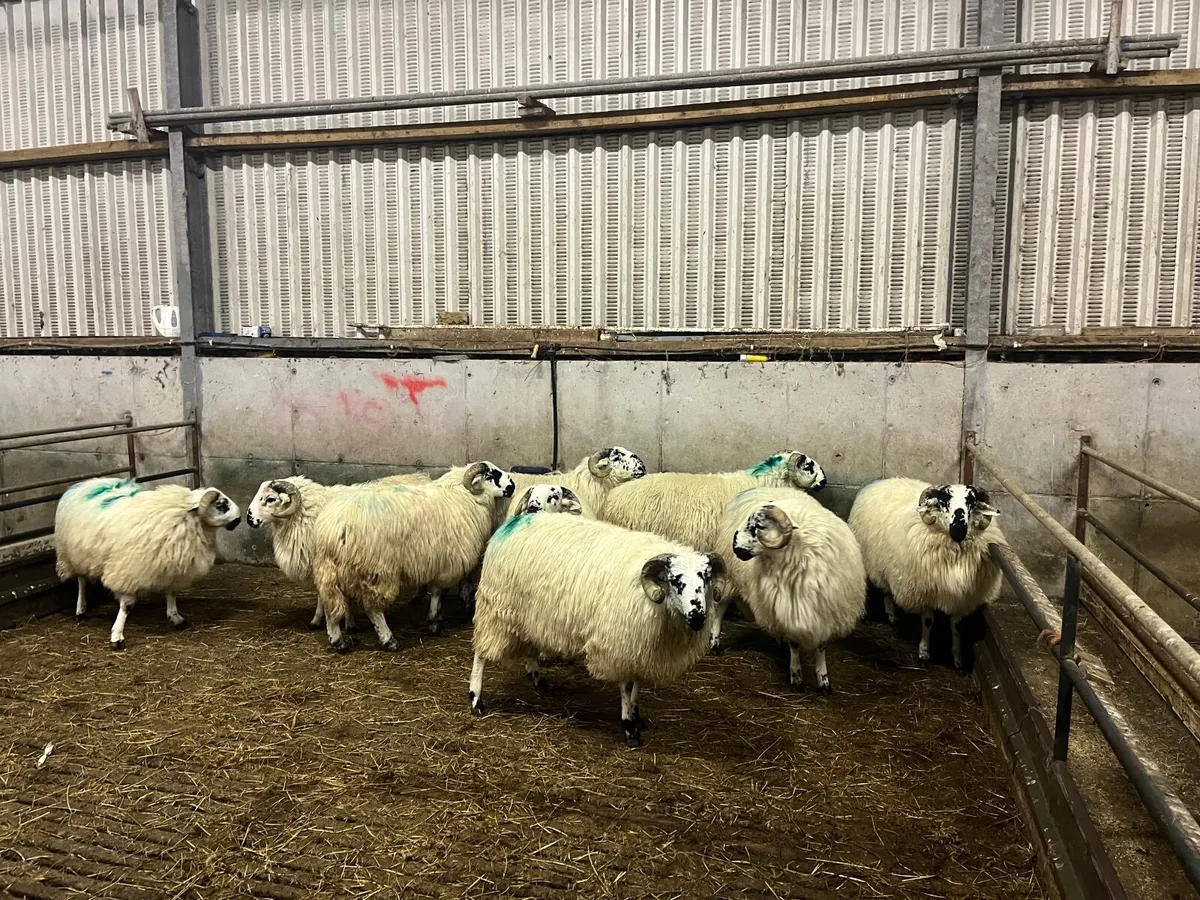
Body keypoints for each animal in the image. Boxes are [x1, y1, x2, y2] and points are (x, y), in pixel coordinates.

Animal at [54, 477, 241, 650]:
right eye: (221, 505)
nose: (239, 519)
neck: (184, 519)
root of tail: (87, 482)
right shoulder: (131, 570)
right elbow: (127, 606)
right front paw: (117, 637)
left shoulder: (171, 566)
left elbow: (171, 592)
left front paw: (175, 616)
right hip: (73, 555)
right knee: (81, 581)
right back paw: (81, 610)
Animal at [311, 462, 515, 652]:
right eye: (491, 475)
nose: (512, 485)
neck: (464, 495)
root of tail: (332, 529)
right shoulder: (446, 562)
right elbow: (438, 592)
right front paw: (434, 622)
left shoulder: (438, 561)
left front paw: (437, 616)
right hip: (377, 571)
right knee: (373, 608)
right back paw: (389, 640)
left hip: (331, 570)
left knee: (331, 605)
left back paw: (338, 641)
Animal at [469, 512, 725, 747]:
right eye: (675, 580)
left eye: (706, 578)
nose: (698, 618)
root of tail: (516, 521)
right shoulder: (619, 642)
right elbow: (626, 685)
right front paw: (629, 727)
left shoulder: (640, 645)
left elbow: (637, 682)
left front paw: (636, 714)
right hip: (496, 608)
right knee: (481, 653)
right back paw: (476, 699)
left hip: (530, 613)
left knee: (530, 645)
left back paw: (537, 679)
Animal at [711, 488, 866, 691]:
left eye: (758, 526)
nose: (735, 547)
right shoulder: (790, 609)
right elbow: (794, 643)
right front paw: (796, 677)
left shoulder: (826, 611)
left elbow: (821, 646)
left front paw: (823, 680)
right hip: (730, 576)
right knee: (719, 609)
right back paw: (714, 643)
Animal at [846, 478, 1004, 673]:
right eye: (943, 501)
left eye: (972, 502)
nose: (958, 529)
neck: (955, 552)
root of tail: (881, 481)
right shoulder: (925, 592)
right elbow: (928, 622)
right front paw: (924, 654)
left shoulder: (963, 597)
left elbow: (956, 627)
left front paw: (958, 658)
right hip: (866, 557)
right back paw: (865, 615)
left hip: (887, 564)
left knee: (887, 592)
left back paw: (892, 616)